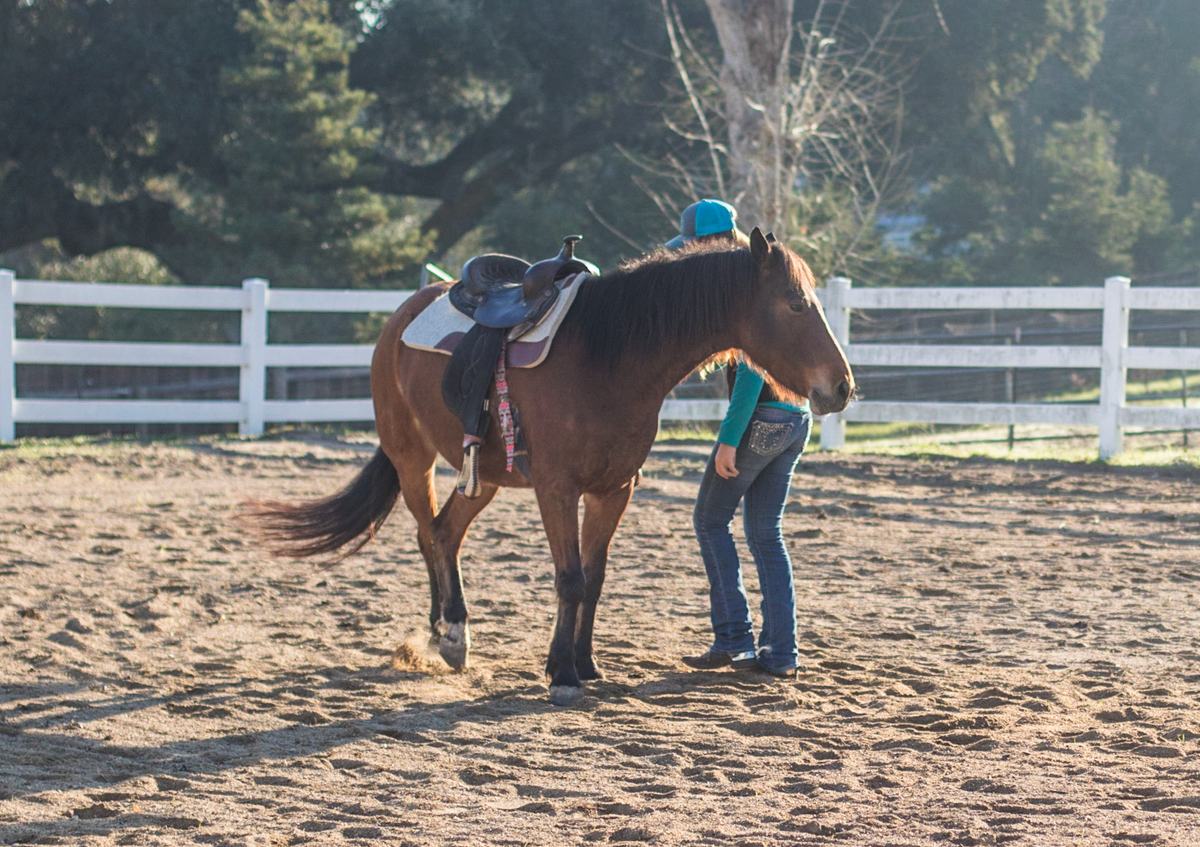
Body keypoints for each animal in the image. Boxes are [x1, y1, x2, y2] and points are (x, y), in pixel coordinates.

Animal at [252, 227, 853, 705]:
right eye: (795, 304)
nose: (843, 386)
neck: (608, 357)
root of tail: (405, 311)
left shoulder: (613, 489)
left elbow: (594, 577)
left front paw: (585, 663)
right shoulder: (557, 489)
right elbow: (569, 578)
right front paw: (562, 672)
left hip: (482, 477)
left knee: (444, 535)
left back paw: (450, 634)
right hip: (411, 459)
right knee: (427, 533)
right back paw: (447, 631)